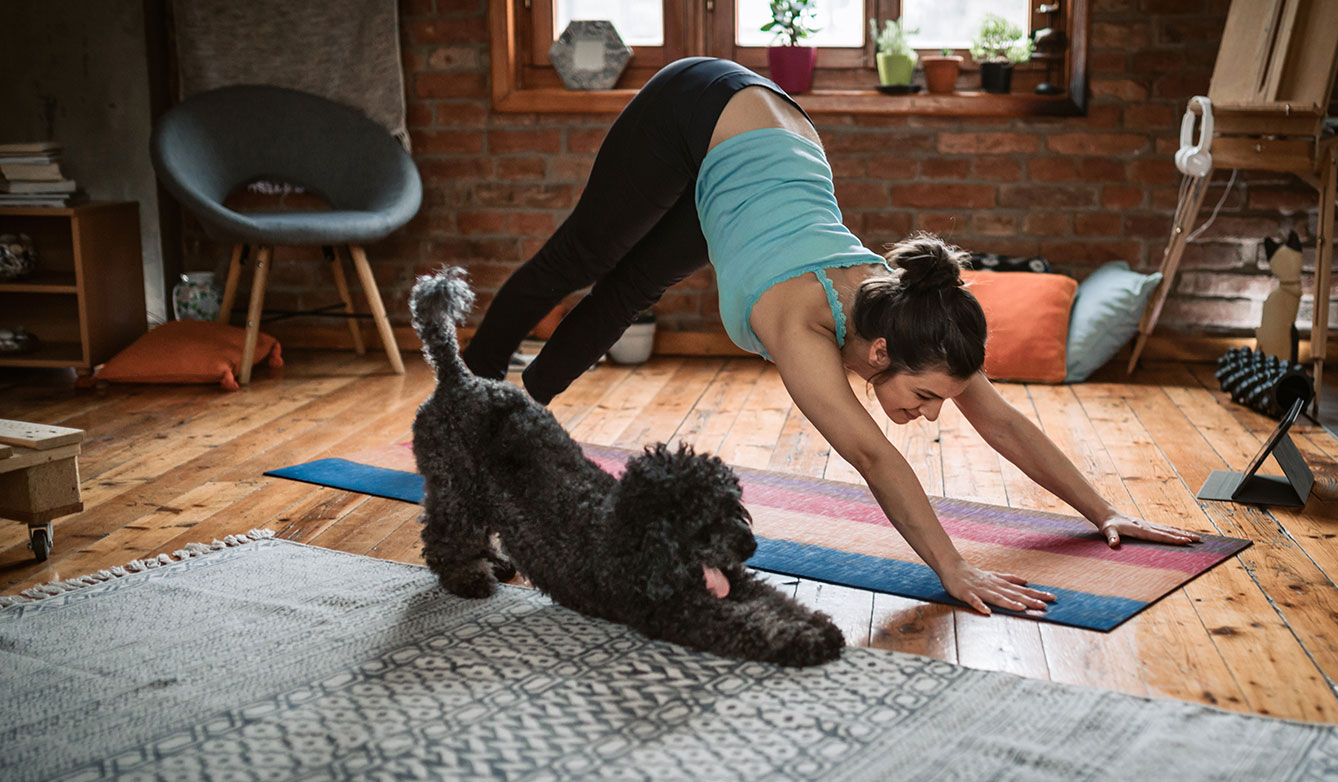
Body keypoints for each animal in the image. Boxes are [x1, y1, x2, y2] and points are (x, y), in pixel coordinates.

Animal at [412, 267, 840, 666]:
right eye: (702, 520)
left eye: (734, 507)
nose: (750, 545)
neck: (633, 536)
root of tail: (457, 378)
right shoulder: (680, 611)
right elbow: (749, 624)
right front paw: (805, 640)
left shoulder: (735, 580)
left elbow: (775, 600)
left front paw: (816, 623)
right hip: (454, 487)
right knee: (444, 539)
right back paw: (468, 578)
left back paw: (496, 562)